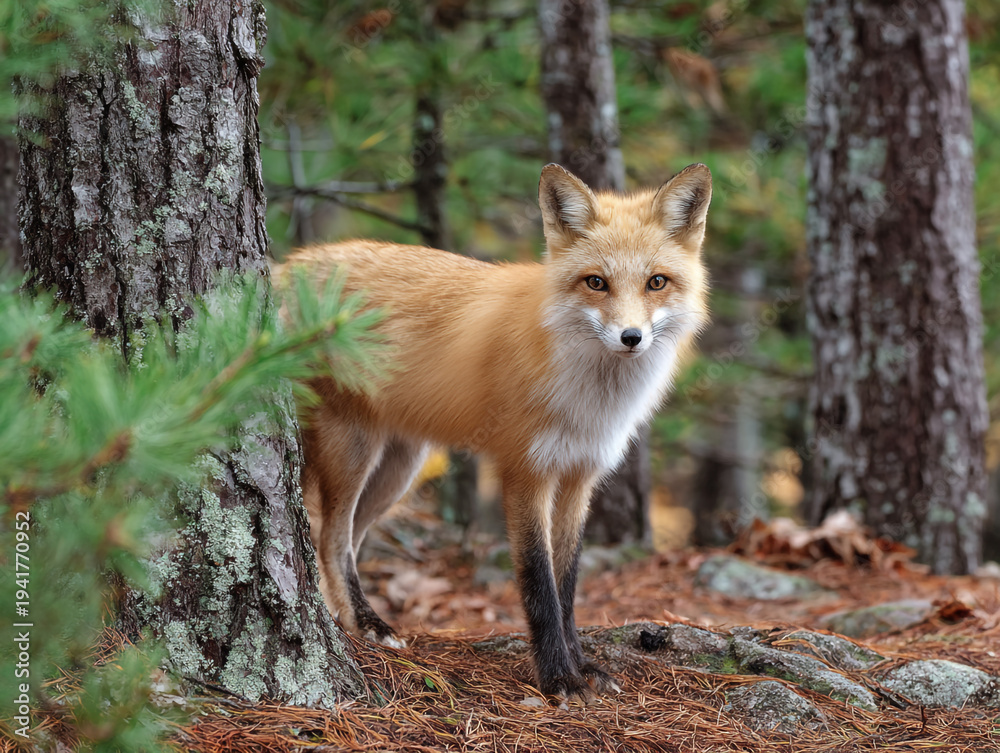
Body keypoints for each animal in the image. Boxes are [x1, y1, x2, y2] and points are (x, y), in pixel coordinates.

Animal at [280, 163, 711, 700]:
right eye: (596, 282)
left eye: (656, 282)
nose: (631, 338)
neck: (590, 400)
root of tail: (284, 267)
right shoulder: (524, 471)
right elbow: (538, 583)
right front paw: (558, 677)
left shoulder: (579, 475)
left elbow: (568, 583)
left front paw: (582, 664)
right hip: (351, 450)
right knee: (331, 540)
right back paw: (367, 622)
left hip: (397, 470)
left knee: (338, 544)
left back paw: (351, 624)